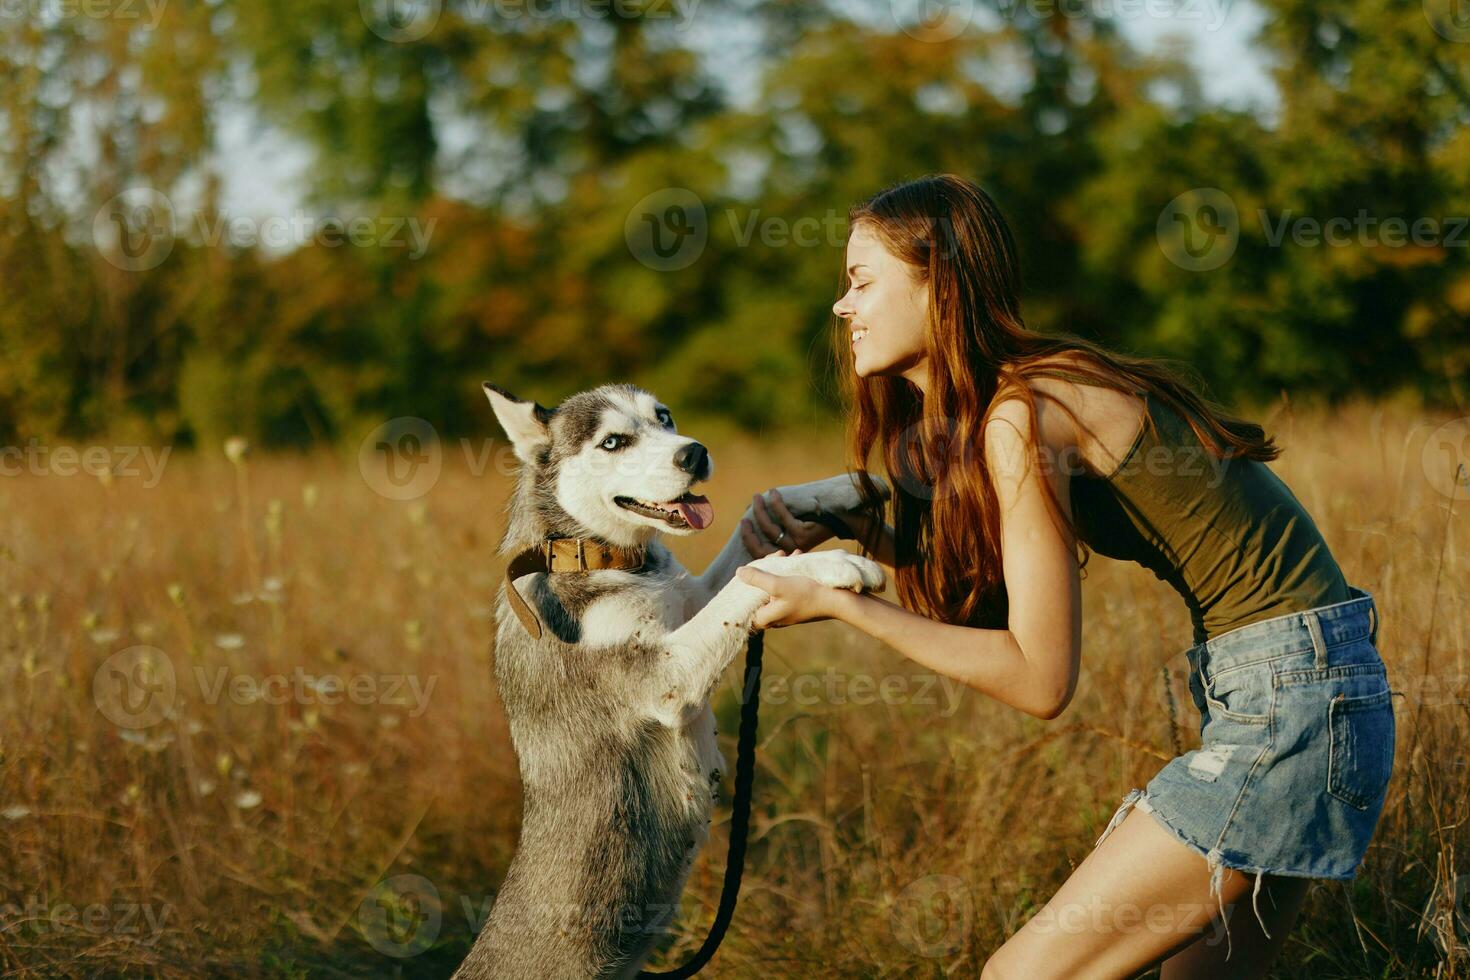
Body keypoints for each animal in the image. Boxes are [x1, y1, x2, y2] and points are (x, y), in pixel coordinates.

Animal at [452, 382, 882, 980]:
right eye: (613, 441)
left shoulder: (691, 602)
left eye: (665, 417)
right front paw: (827, 565)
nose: (694, 454)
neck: (603, 556)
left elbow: (748, 536)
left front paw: (845, 487)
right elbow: (757, 573)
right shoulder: (666, 677)